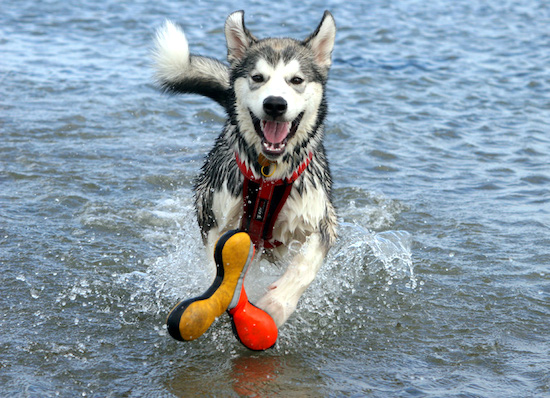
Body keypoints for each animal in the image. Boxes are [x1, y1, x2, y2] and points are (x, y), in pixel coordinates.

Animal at [153, 11, 338, 330]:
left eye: (296, 80)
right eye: (257, 78)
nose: (275, 104)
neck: (269, 174)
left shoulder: (322, 219)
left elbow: (305, 264)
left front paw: (276, 304)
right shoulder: (215, 216)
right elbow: (222, 265)